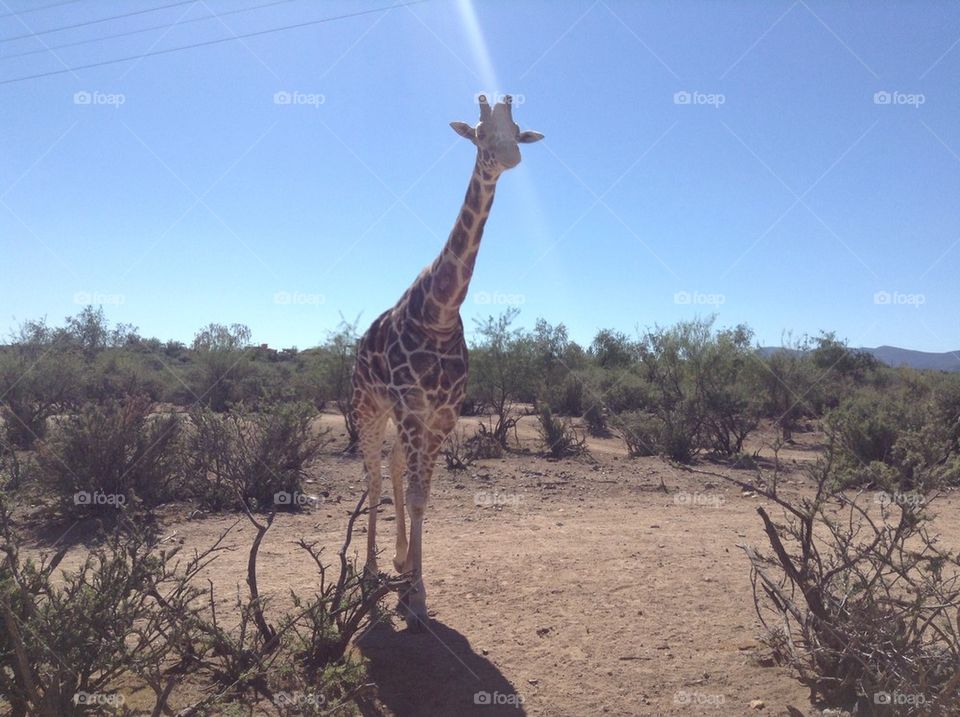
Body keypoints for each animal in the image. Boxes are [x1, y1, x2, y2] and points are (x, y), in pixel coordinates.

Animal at [350, 95, 543, 631]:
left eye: (518, 130)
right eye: (479, 133)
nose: (509, 157)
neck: (439, 310)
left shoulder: (440, 414)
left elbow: (423, 495)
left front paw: (414, 591)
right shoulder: (412, 407)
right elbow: (413, 493)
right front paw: (411, 597)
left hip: (399, 415)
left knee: (394, 466)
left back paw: (396, 564)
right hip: (368, 407)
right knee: (374, 478)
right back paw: (369, 575)